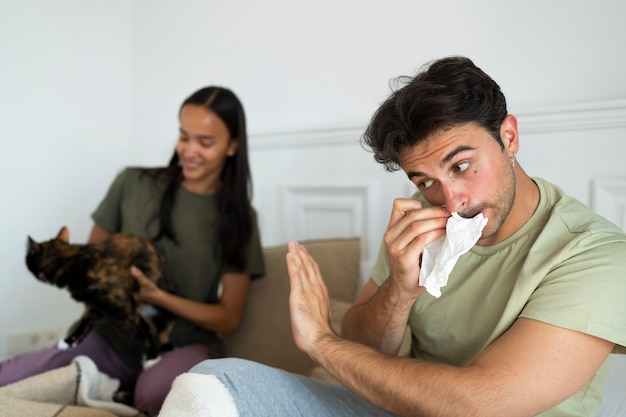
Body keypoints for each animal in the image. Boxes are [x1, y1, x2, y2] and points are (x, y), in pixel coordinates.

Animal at [25, 226, 171, 360]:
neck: (71, 261)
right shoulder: (94, 305)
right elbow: (84, 322)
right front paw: (69, 341)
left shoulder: (123, 306)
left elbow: (141, 328)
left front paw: (152, 357)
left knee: (164, 321)